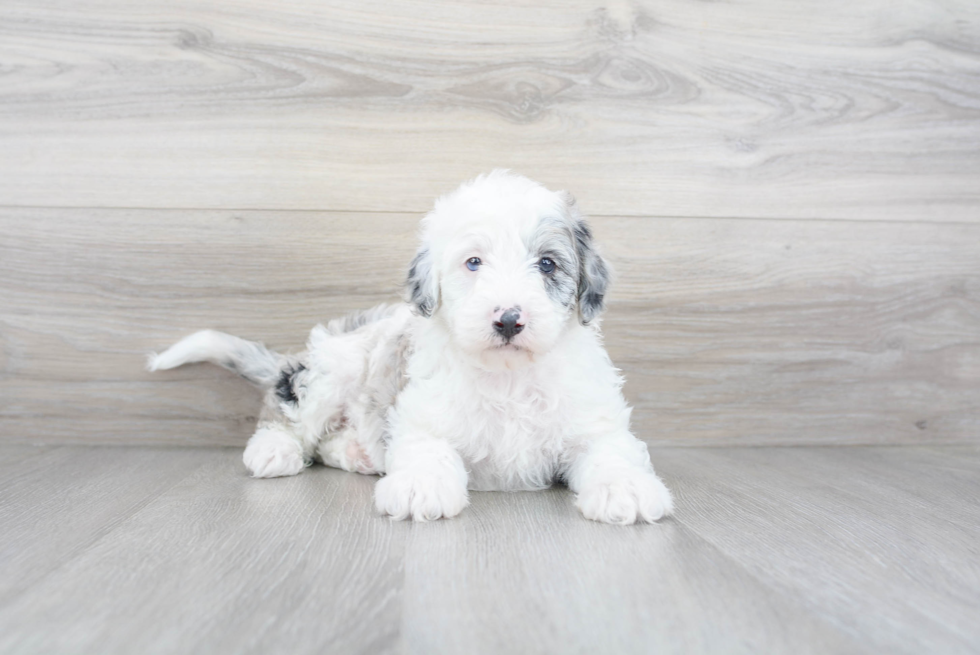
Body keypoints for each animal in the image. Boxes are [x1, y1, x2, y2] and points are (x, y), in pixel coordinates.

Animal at [149, 172, 672, 524]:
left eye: (547, 264)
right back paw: (275, 450)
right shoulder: (423, 414)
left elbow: (612, 451)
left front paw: (626, 490)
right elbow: (428, 450)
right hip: (333, 370)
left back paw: (356, 453)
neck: (508, 376)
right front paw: (422, 488)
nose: (508, 319)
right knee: (289, 414)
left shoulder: (593, 420)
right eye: (473, 262)